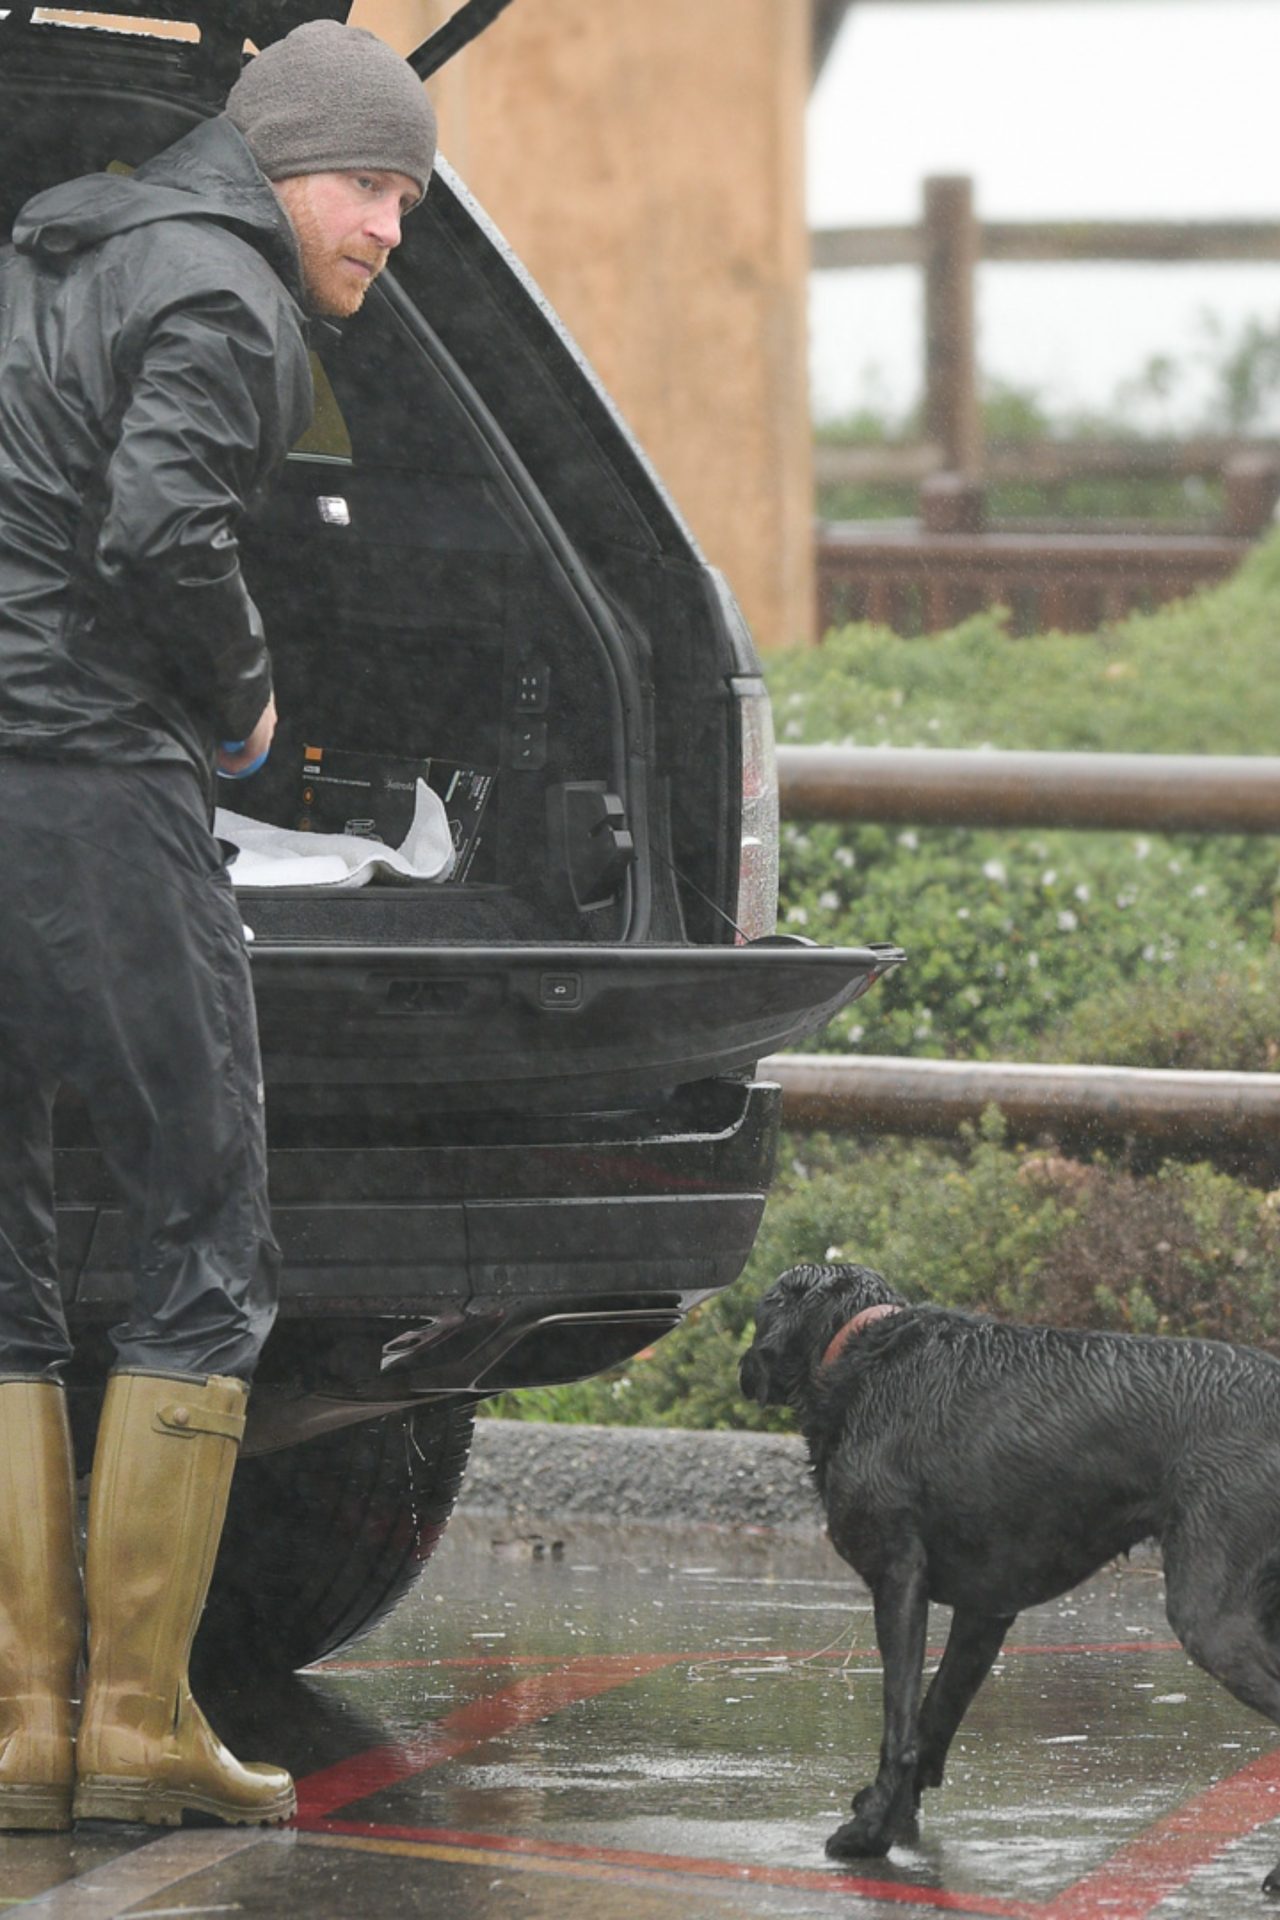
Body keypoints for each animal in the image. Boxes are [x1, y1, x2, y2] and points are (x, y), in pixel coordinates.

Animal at [740, 1259, 1280, 1889]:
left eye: (763, 1306)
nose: (746, 1369)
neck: (865, 1348)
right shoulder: (987, 1608)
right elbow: (932, 1719)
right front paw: (895, 1817)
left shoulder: (899, 1578)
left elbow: (899, 1724)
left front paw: (868, 1835)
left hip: (1211, 1615)